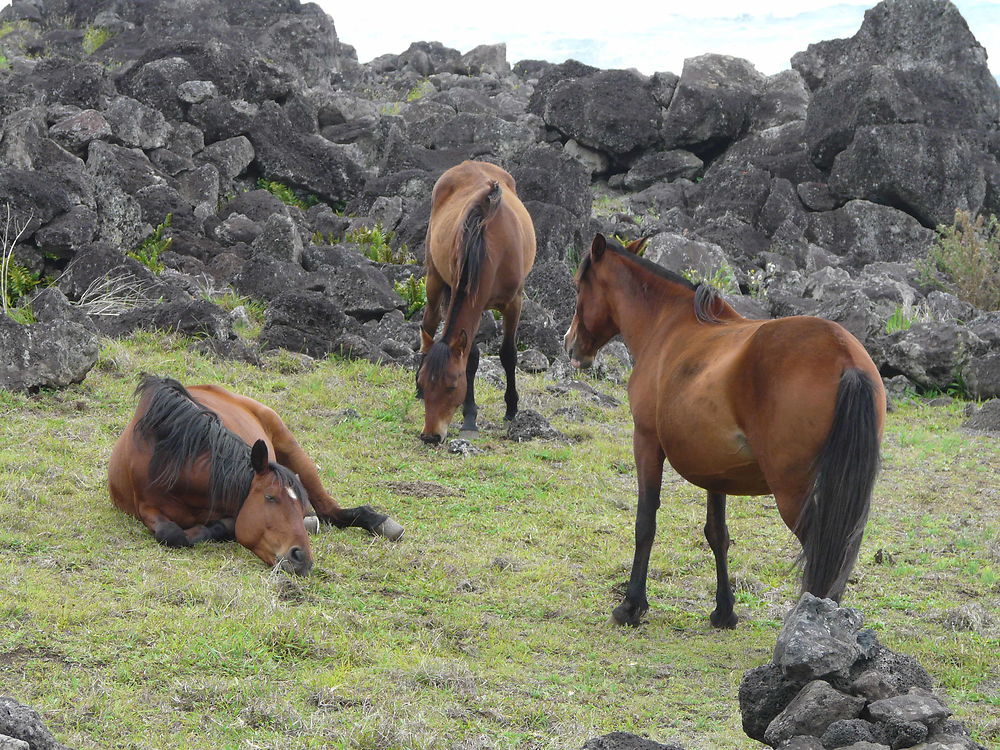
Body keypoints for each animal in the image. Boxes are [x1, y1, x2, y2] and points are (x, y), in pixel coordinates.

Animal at [109, 378, 402, 572]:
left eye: (298, 503)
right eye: (270, 498)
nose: (302, 558)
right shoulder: (146, 507)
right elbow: (171, 534)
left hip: (291, 446)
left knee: (330, 509)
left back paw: (378, 522)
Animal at [416, 162, 536, 444]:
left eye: (451, 386)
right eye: (425, 383)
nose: (430, 436)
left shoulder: (514, 302)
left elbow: (508, 354)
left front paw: (512, 409)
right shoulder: (467, 295)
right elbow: (471, 357)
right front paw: (470, 417)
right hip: (435, 279)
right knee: (430, 322)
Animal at [568, 235, 888, 628]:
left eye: (578, 285)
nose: (570, 343)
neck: (669, 327)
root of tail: (845, 356)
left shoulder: (646, 442)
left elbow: (646, 523)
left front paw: (631, 605)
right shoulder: (715, 470)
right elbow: (717, 534)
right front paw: (724, 610)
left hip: (793, 493)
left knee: (822, 548)